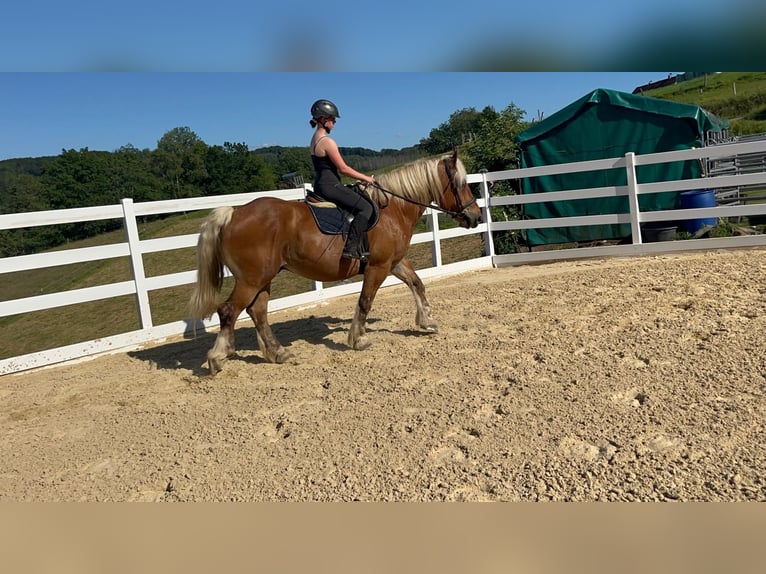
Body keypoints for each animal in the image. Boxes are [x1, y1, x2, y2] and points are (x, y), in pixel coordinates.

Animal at [189, 149, 482, 375]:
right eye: (460, 184)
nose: (476, 217)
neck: (393, 209)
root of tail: (234, 213)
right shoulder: (378, 266)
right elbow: (365, 301)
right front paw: (358, 339)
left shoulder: (394, 261)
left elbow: (417, 284)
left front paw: (427, 322)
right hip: (251, 279)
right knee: (229, 311)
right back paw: (217, 357)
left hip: (263, 278)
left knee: (257, 311)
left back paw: (278, 353)